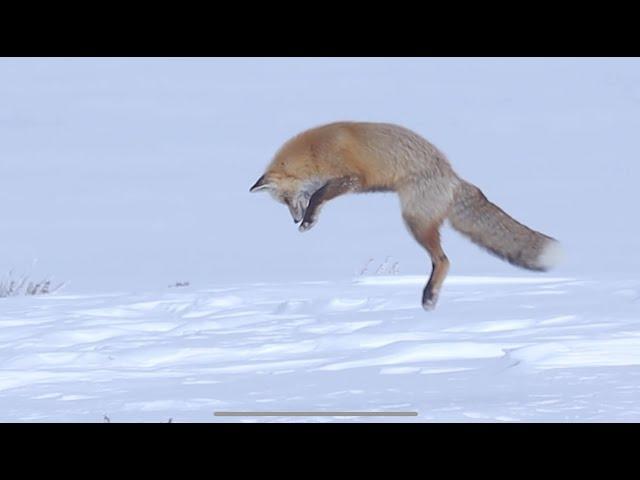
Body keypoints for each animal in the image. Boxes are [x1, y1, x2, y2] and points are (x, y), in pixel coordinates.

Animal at [250, 123, 560, 312]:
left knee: (443, 260)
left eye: (286, 200)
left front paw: (308, 220)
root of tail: (453, 177)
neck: (314, 152)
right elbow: (319, 198)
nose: (294, 220)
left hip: (415, 221)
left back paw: (429, 296)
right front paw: (310, 221)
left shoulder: (351, 178)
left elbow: (318, 195)